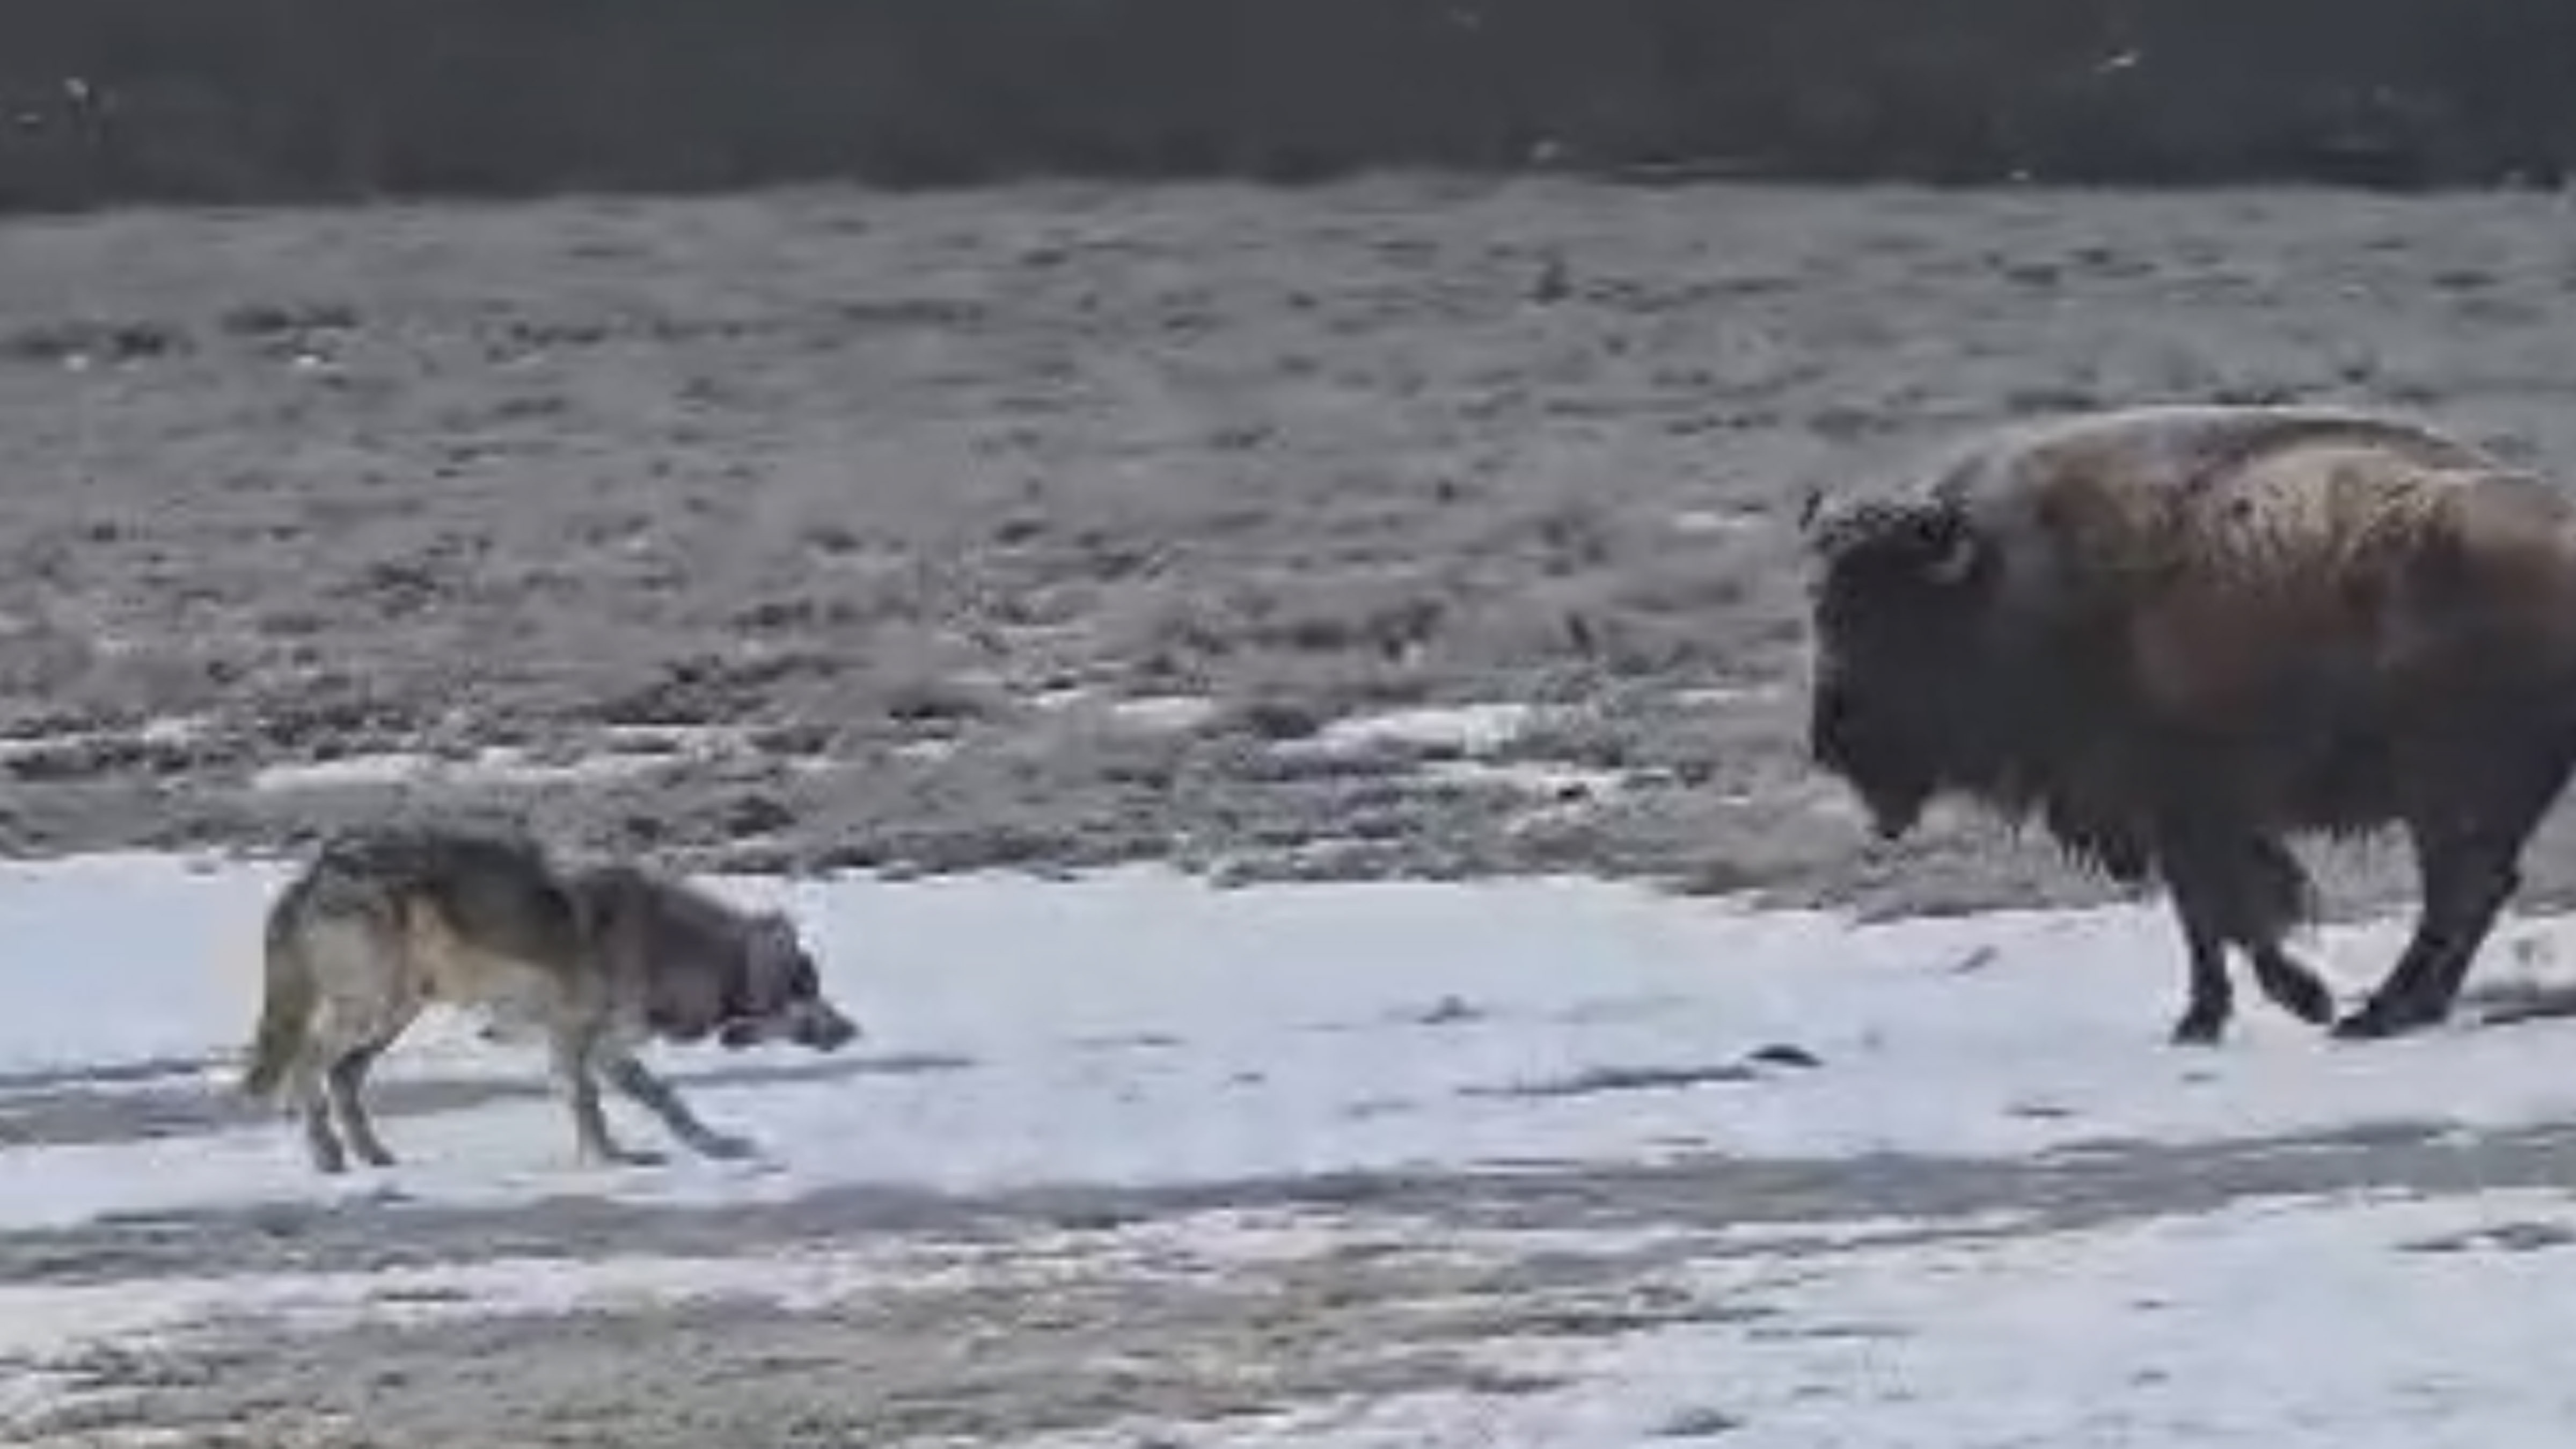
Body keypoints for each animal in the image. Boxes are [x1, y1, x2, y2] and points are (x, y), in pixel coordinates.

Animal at [238, 824, 860, 1174]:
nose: (852, 1031)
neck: (678, 949)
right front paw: (609, 1161)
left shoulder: (609, 1048)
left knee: (342, 1078)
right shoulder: (571, 1039)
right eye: (809, 991)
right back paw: (326, 1155)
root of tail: (314, 873)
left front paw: (716, 1146)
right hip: (371, 1009)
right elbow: (588, 1102)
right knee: (306, 1063)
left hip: (394, 1014)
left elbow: (667, 1101)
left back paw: (372, 1155)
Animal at [1799, 402, 2576, 1044]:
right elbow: (2219, 914)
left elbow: (2221, 912)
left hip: (2446, 787)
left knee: (2460, 888)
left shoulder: (2183, 806)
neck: (2013, 577)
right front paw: (2237, 1010)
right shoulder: (2183, 815)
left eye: (1898, 616)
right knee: (2474, 889)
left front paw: (2262, 1007)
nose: (1832, 737)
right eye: (1825, 606)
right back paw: (2401, 1010)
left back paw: (2380, 1015)